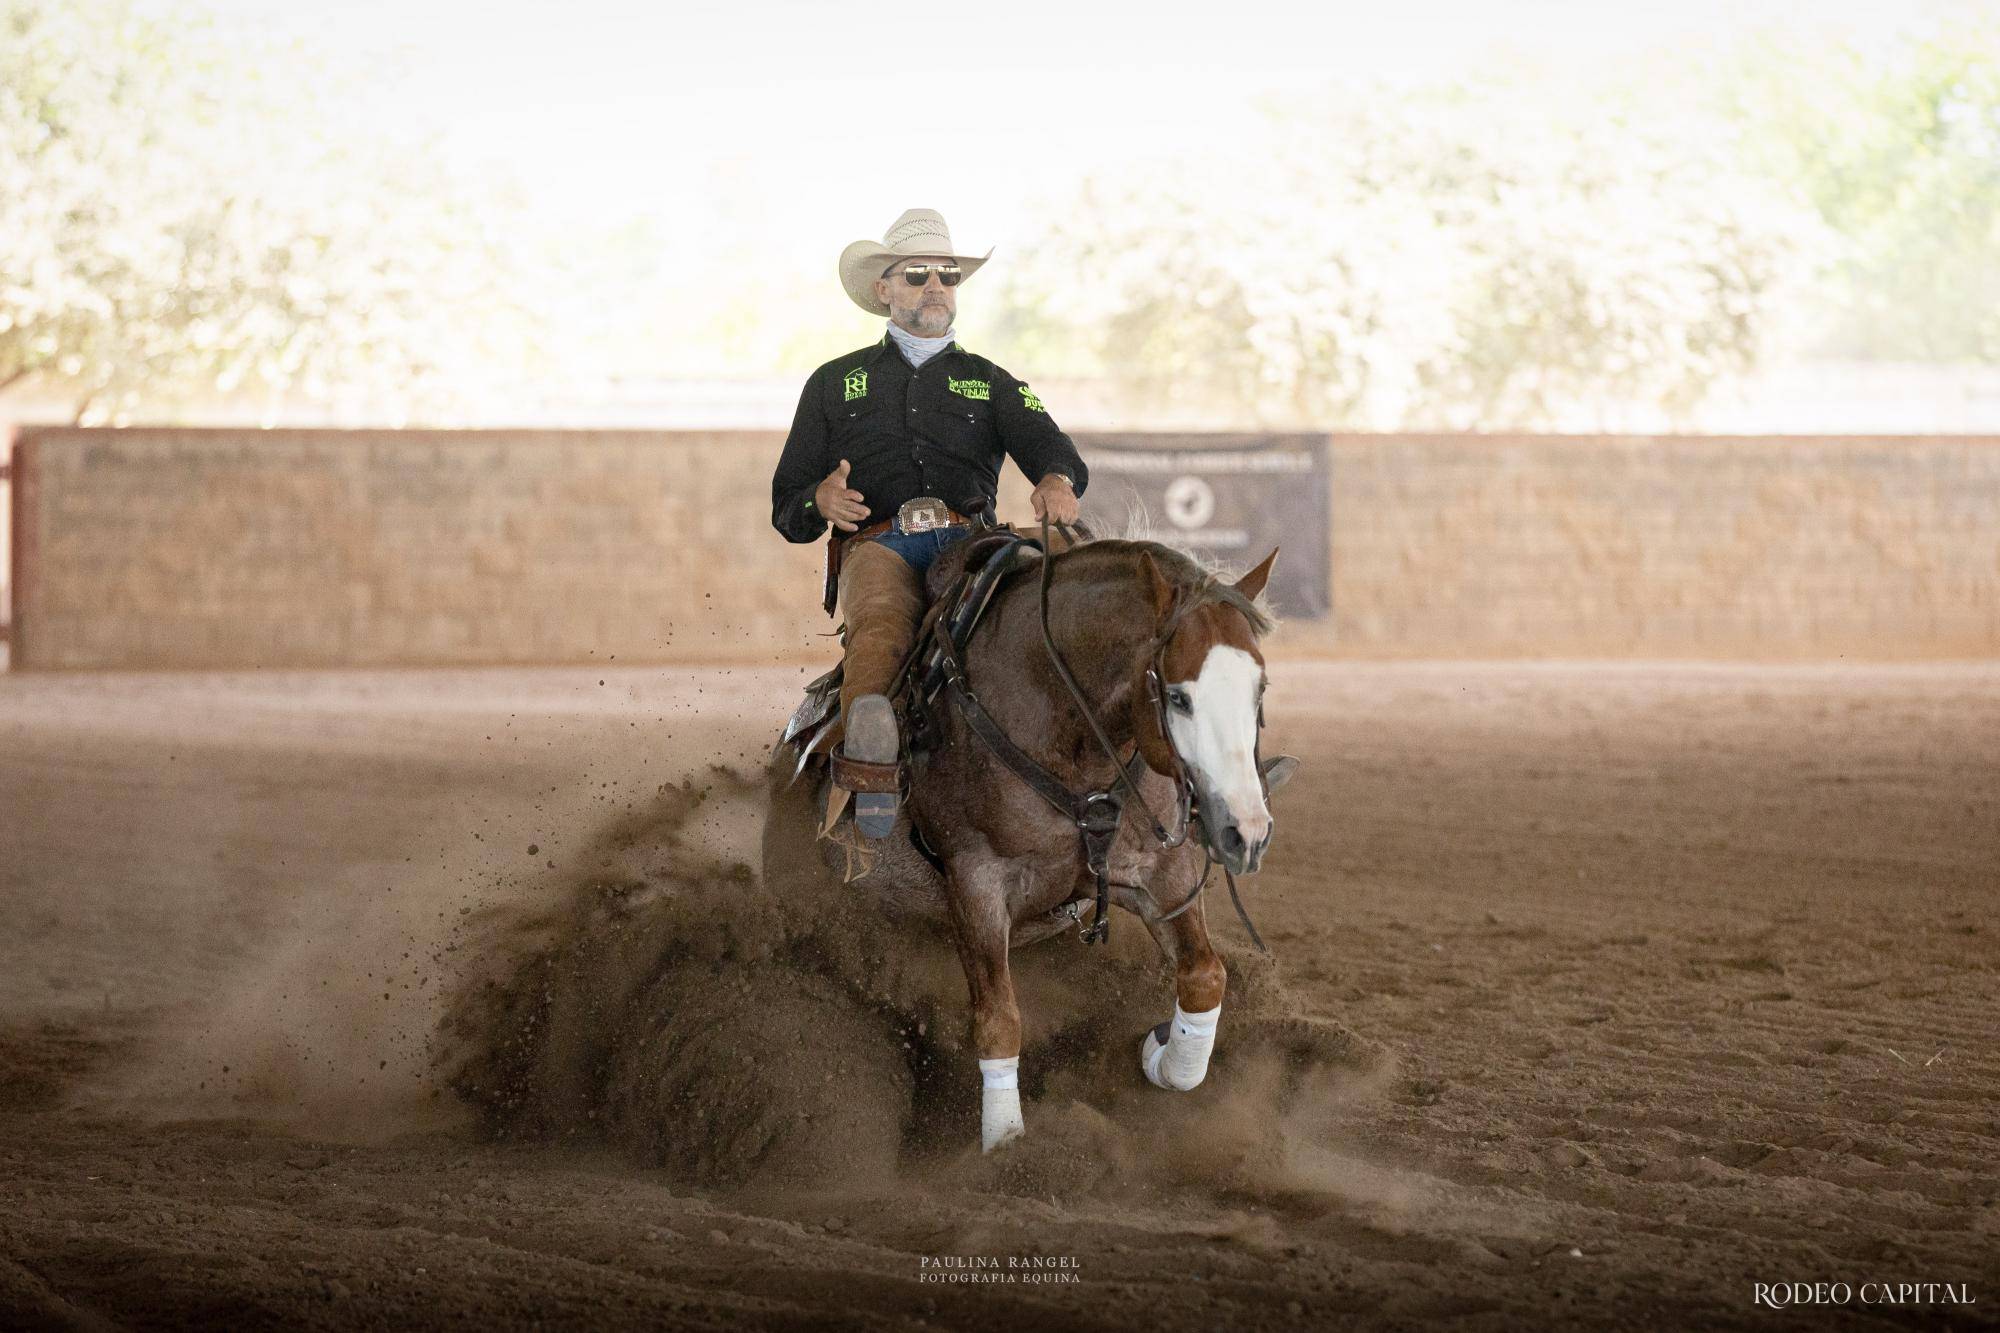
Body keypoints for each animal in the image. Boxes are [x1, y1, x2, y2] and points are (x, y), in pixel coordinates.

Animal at [772, 536, 1288, 1144]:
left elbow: (1206, 978)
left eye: (1260, 688)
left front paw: (1162, 1053)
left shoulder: (1163, 873)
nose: (1246, 832)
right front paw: (1006, 1145)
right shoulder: (977, 883)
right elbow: (998, 1024)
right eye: (1179, 698)